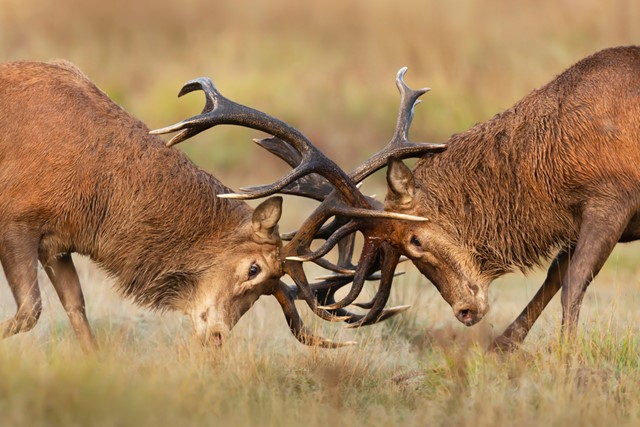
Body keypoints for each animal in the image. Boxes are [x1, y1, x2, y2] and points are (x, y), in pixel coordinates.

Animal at [1, 61, 440, 354]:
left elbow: (77, 313)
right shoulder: (17, 220)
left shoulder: (56, 244)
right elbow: (29, 312)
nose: (217, 337)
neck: (92, 195)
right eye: (254, 269)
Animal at [380, 45, 640, 350]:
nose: (464, 311)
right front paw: (501, 347)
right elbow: (555, 274)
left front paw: (567, 351)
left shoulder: (612, 198)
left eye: (415, 240)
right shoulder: (578, 218)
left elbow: (575, 280)